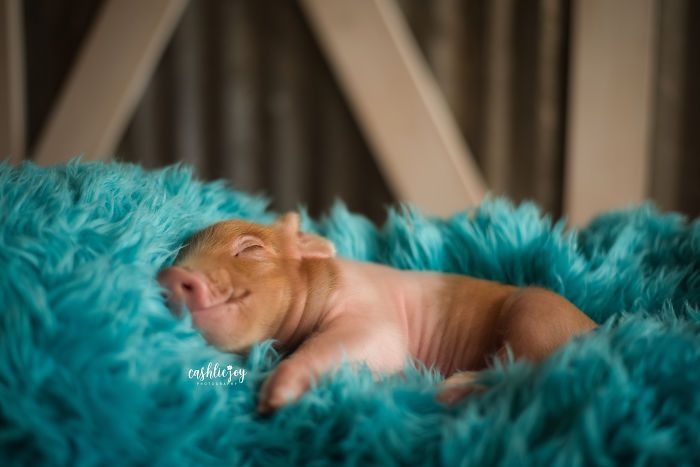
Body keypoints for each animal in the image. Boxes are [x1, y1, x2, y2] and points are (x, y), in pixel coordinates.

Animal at [157, 213, 597, 413]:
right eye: (179, 257)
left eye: (250, 249)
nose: (171, 275)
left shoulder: (371, 319)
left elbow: (357, 344)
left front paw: (274, 400)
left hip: (538, 316)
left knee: (526, 372)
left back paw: (449, 390)